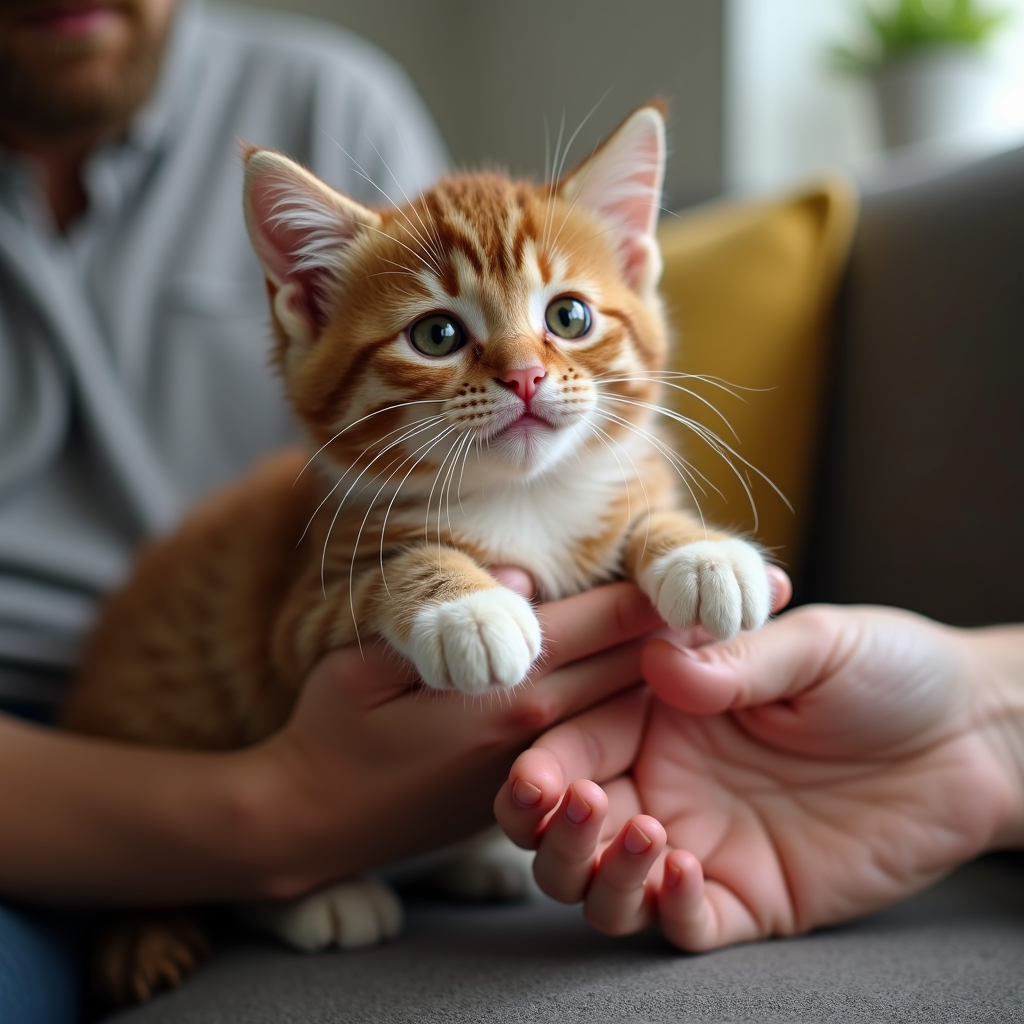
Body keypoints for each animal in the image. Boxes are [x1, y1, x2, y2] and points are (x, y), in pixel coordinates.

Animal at [61, 103, 770, 999]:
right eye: (437, 334)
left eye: (568, 317)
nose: (527, 377)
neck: (521, 499)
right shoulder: (300, 614)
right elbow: (391, 570)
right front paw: (468, 609)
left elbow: (642, 516)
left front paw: (702, 555)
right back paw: (321, 899)